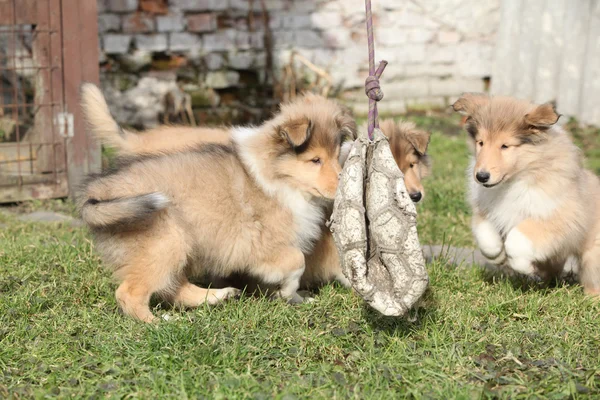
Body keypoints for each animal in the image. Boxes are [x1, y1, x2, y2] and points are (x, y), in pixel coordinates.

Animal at [454, 94, 600, 294]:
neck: (516, 179)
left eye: (505, 146)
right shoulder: (487, 210)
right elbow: (486, 239)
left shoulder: (559, 217)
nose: (481, 177)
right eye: (481, 142)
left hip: (593, 255)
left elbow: (516, 240)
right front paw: (499, 257)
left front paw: (526, 268)